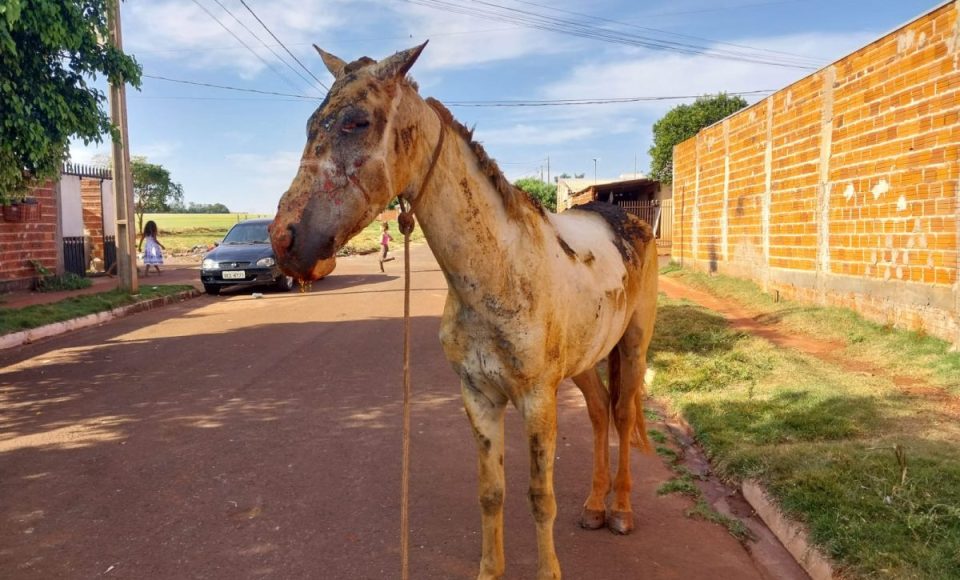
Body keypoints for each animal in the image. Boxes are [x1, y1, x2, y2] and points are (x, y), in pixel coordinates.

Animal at [269, 42, 658, 580]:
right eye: (311, 124)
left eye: (357, 122)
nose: (284, 241)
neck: (500, 270)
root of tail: (630, 221)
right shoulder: (478, 396)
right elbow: (491, 494)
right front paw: (489, 570)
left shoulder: (537, 400)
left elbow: (540, 499)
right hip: (583, 360)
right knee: (600, 413)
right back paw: (595, 507)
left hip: (634, 344)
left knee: (621, 414)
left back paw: (620, 510)